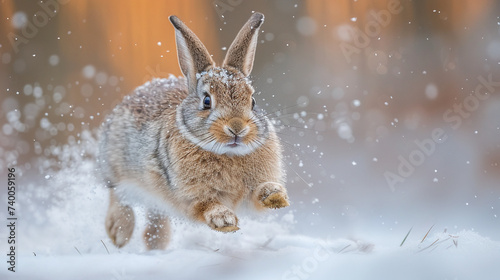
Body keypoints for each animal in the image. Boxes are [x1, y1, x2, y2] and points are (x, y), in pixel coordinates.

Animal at [97, 12, 290, 250]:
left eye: (252, 101)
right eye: (207, 101)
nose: (237, 128)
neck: (228, 153)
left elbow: (257, 195)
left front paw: (275, 195)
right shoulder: (189, 196)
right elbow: (204, 205)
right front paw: (223, 219)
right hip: (116, 169)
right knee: (117, 195)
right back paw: (119, 233)